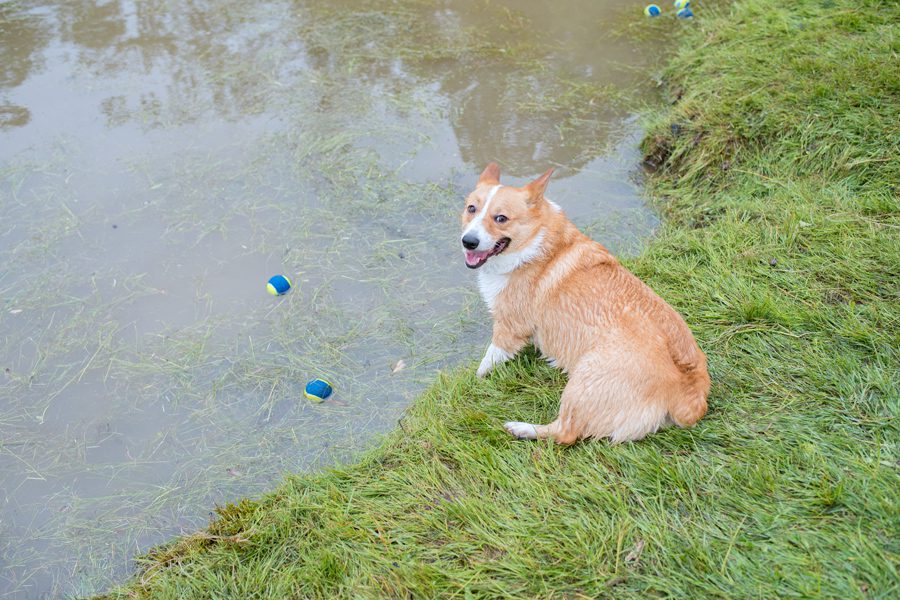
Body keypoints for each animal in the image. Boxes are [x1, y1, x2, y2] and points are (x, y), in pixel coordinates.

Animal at [464, 162, 712, 442]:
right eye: (471, 209)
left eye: (501, 218)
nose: (468, 241)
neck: (535, 241)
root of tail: (687, 394)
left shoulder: (508, 326)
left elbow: (488, 358)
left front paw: (476, 378)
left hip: (582, 380)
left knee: (565, 433)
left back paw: (522, 428)